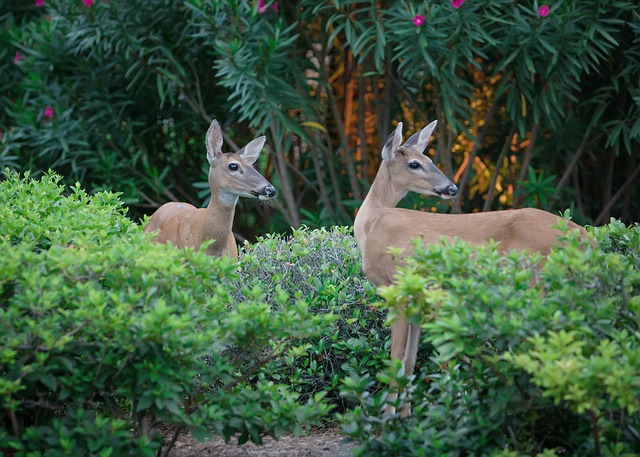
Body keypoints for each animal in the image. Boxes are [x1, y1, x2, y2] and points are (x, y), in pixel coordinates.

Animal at [356, 118, 592, 416]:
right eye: (415, 163)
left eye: (428, 159)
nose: (452, 188)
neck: (371, 223)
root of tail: (588, 240)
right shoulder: (416, 297)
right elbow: (409, 363)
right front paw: (407, 418)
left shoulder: (396, 286)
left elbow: (396, 362)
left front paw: (388, 422)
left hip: (537, 283)